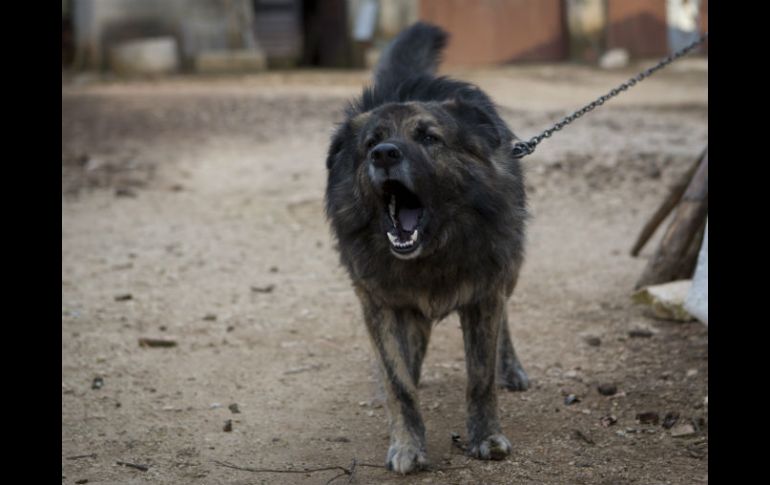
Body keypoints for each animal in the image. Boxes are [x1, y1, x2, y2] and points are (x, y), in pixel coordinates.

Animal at [322, 22, 528, 472]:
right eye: (371, 143)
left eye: (429, 137)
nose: (384, 154)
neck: (431, 253)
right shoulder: (380, 303)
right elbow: (398, 382)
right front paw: (407, 443)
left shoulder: (484, 293)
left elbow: (480, 378)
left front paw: (486, 436)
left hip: (510, 267)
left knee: (505, 320)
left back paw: (512, 368)